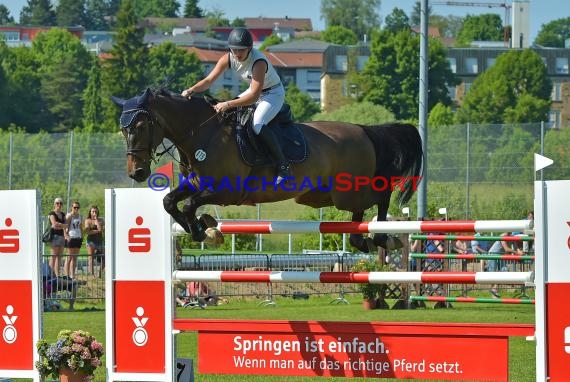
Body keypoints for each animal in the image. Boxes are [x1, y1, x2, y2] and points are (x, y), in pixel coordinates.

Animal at [111, 88, 422, 252]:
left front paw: (205, 230)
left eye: (141, 126)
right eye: (123, 129)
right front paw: (205, 229)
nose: (137, 173)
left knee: (380, 196)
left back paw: (383, 237)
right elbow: (170, 201)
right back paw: (363, 239)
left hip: (348, 191)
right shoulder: (197, 183)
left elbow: (188, 205)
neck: (203, 134)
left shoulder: (227, 192)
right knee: (359, 214)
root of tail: (364, 129)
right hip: (323, 196)